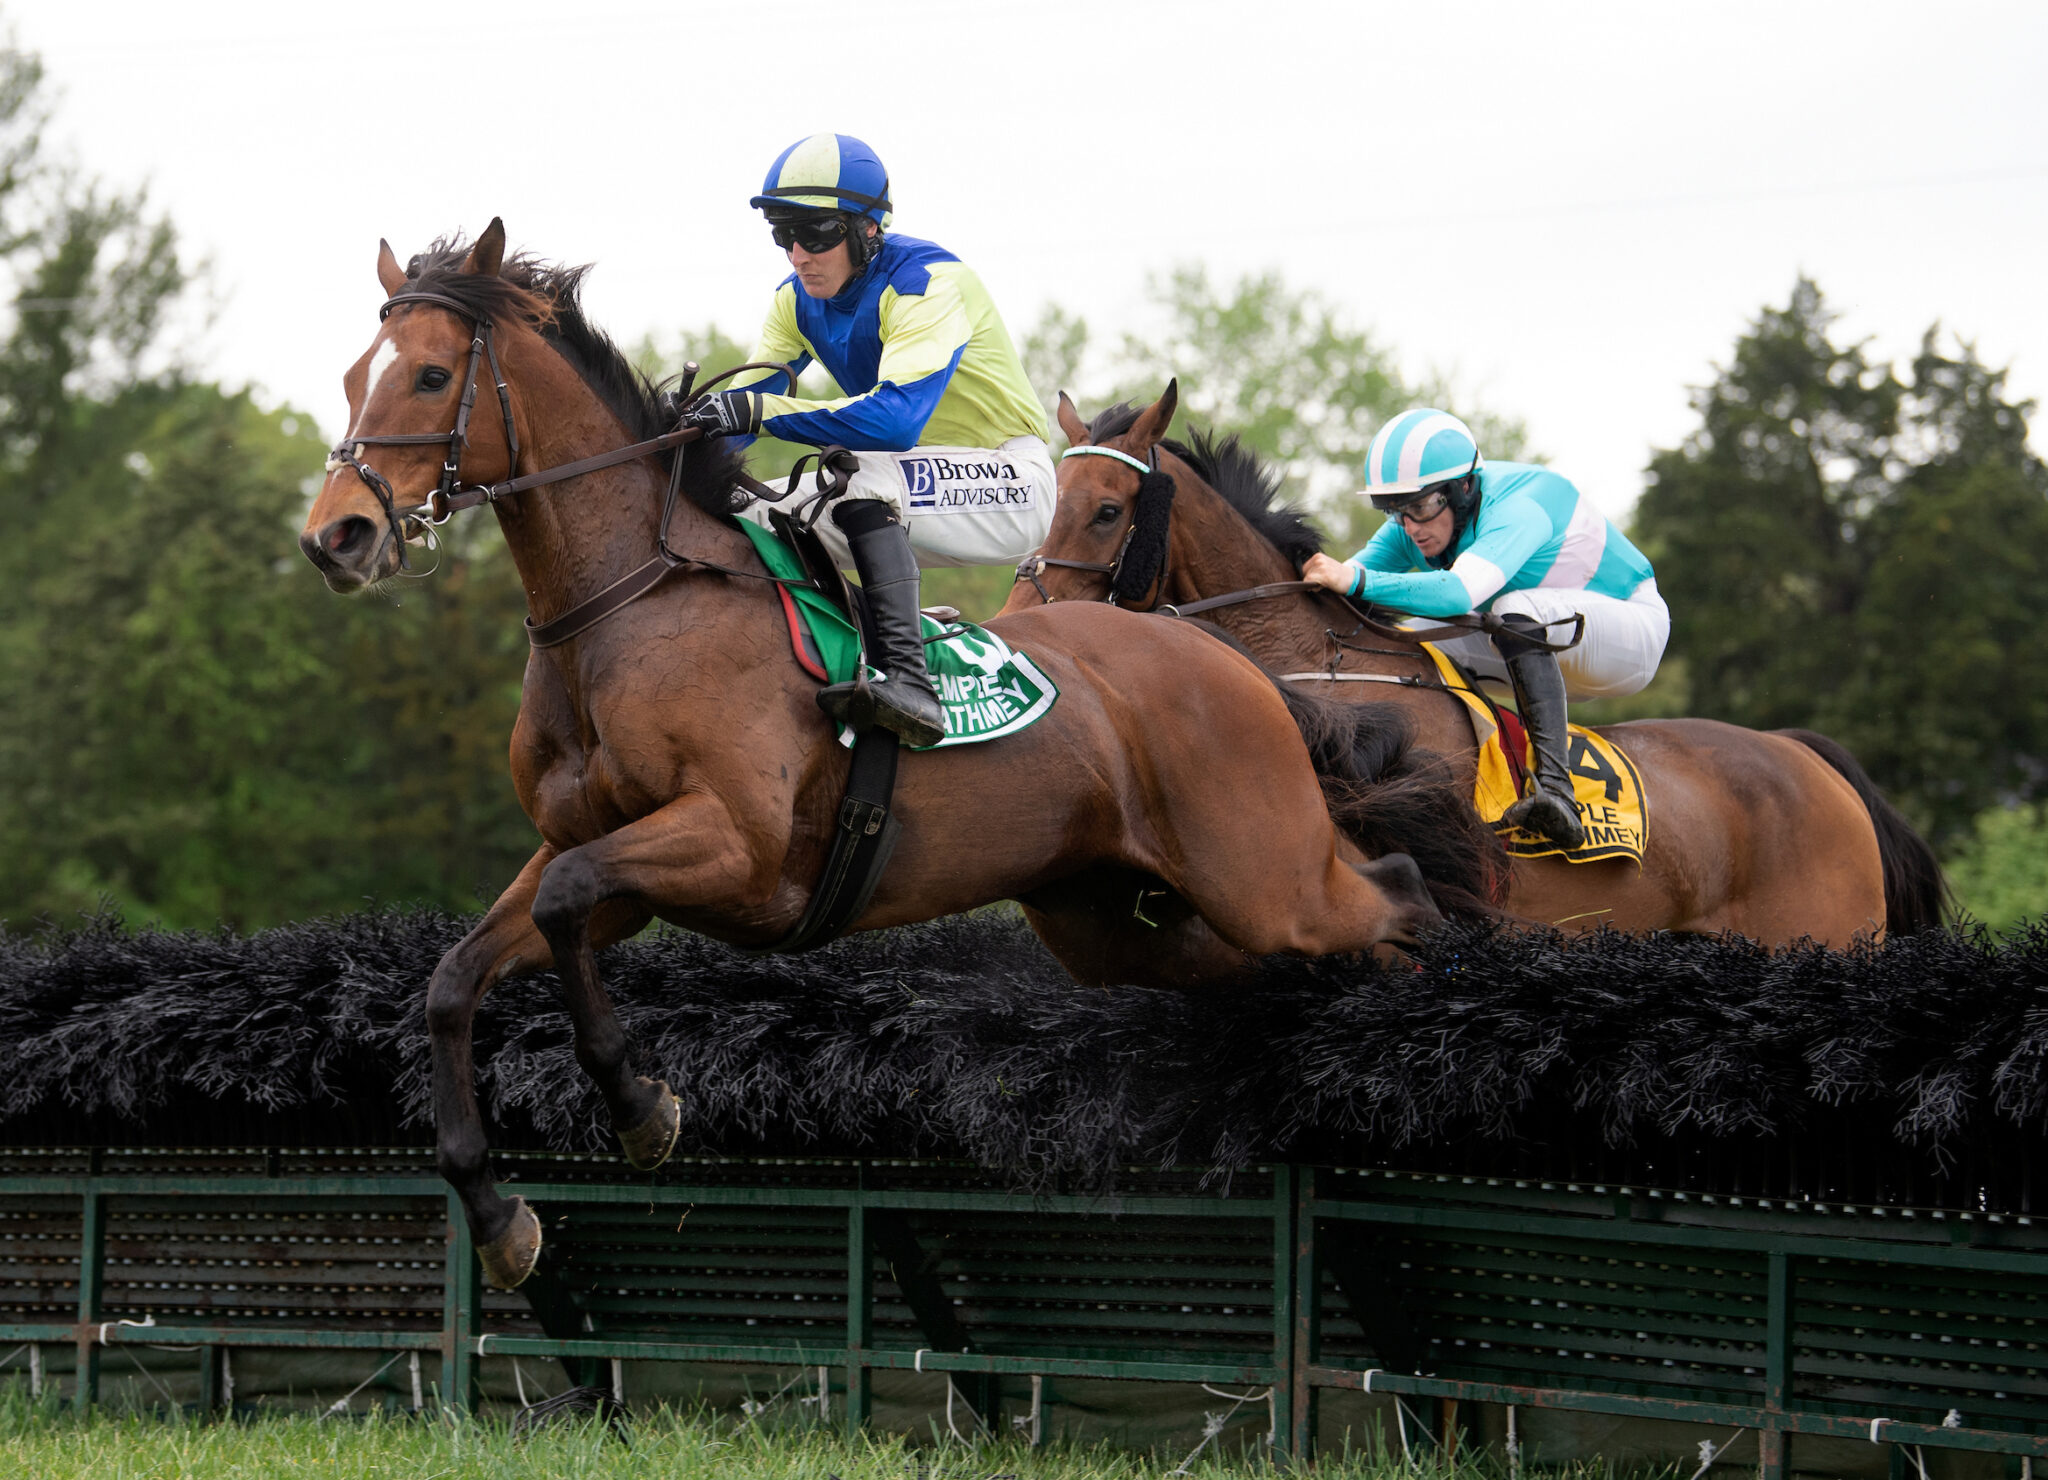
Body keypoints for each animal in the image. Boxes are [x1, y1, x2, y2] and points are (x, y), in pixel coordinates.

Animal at [299, 226, 1458, 1293]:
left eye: (431, 374)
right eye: (355, 375)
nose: (335, 537)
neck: (628, 608)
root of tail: (1229, 656)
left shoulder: (732, 847)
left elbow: (566, 902)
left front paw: (638, 1106)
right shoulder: (596, 854)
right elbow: (458, 976)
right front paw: (498, 1216)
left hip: (1264, 877)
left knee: (1400, 893)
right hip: (1122, 922)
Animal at [1007, 384, 1949, 949]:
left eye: (1106, 510)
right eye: (1050, 501)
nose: (1021, 618)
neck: (1319, 669)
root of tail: (1805, 756)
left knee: (1522, 619)